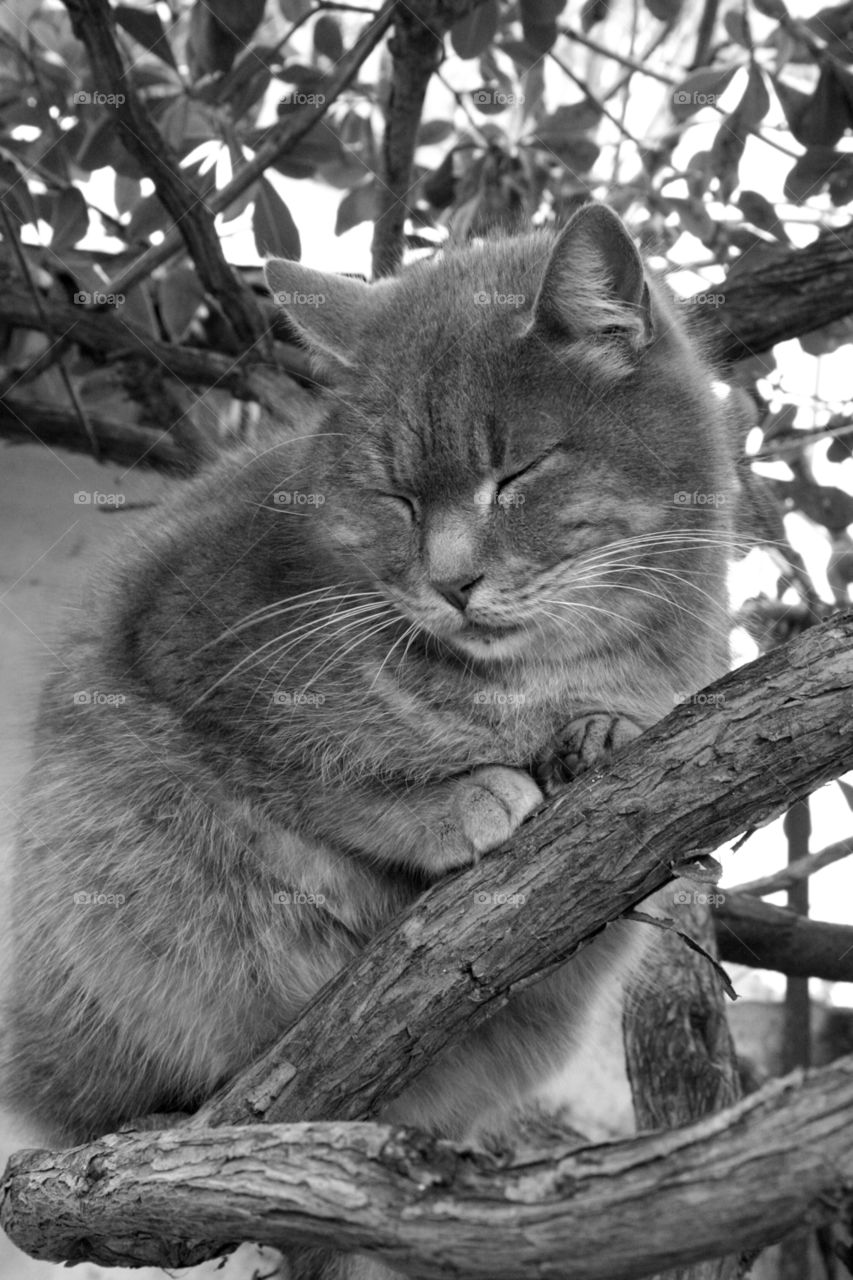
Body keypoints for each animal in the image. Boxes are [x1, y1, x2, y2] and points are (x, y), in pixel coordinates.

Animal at [1, 202, 732, 1269]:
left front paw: (597, 730)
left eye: (515, 473)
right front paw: (457, 798)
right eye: (397, 497)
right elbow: (320, 775)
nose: (451, 581)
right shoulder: (177, 652)